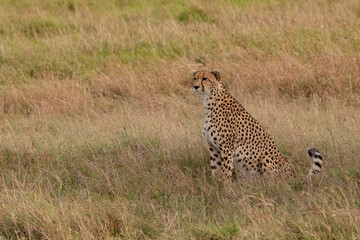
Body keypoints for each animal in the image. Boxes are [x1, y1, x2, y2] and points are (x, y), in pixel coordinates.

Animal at [193, 70, 322, 183]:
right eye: (194, 78)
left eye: (205, 78)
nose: (195, 86)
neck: (209, 102)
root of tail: (292, 177)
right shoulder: (213, 148)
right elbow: (215, 169)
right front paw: (216, 185)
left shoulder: (227, 148)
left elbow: (226, 171)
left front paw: (226, 188)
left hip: (266, 158)